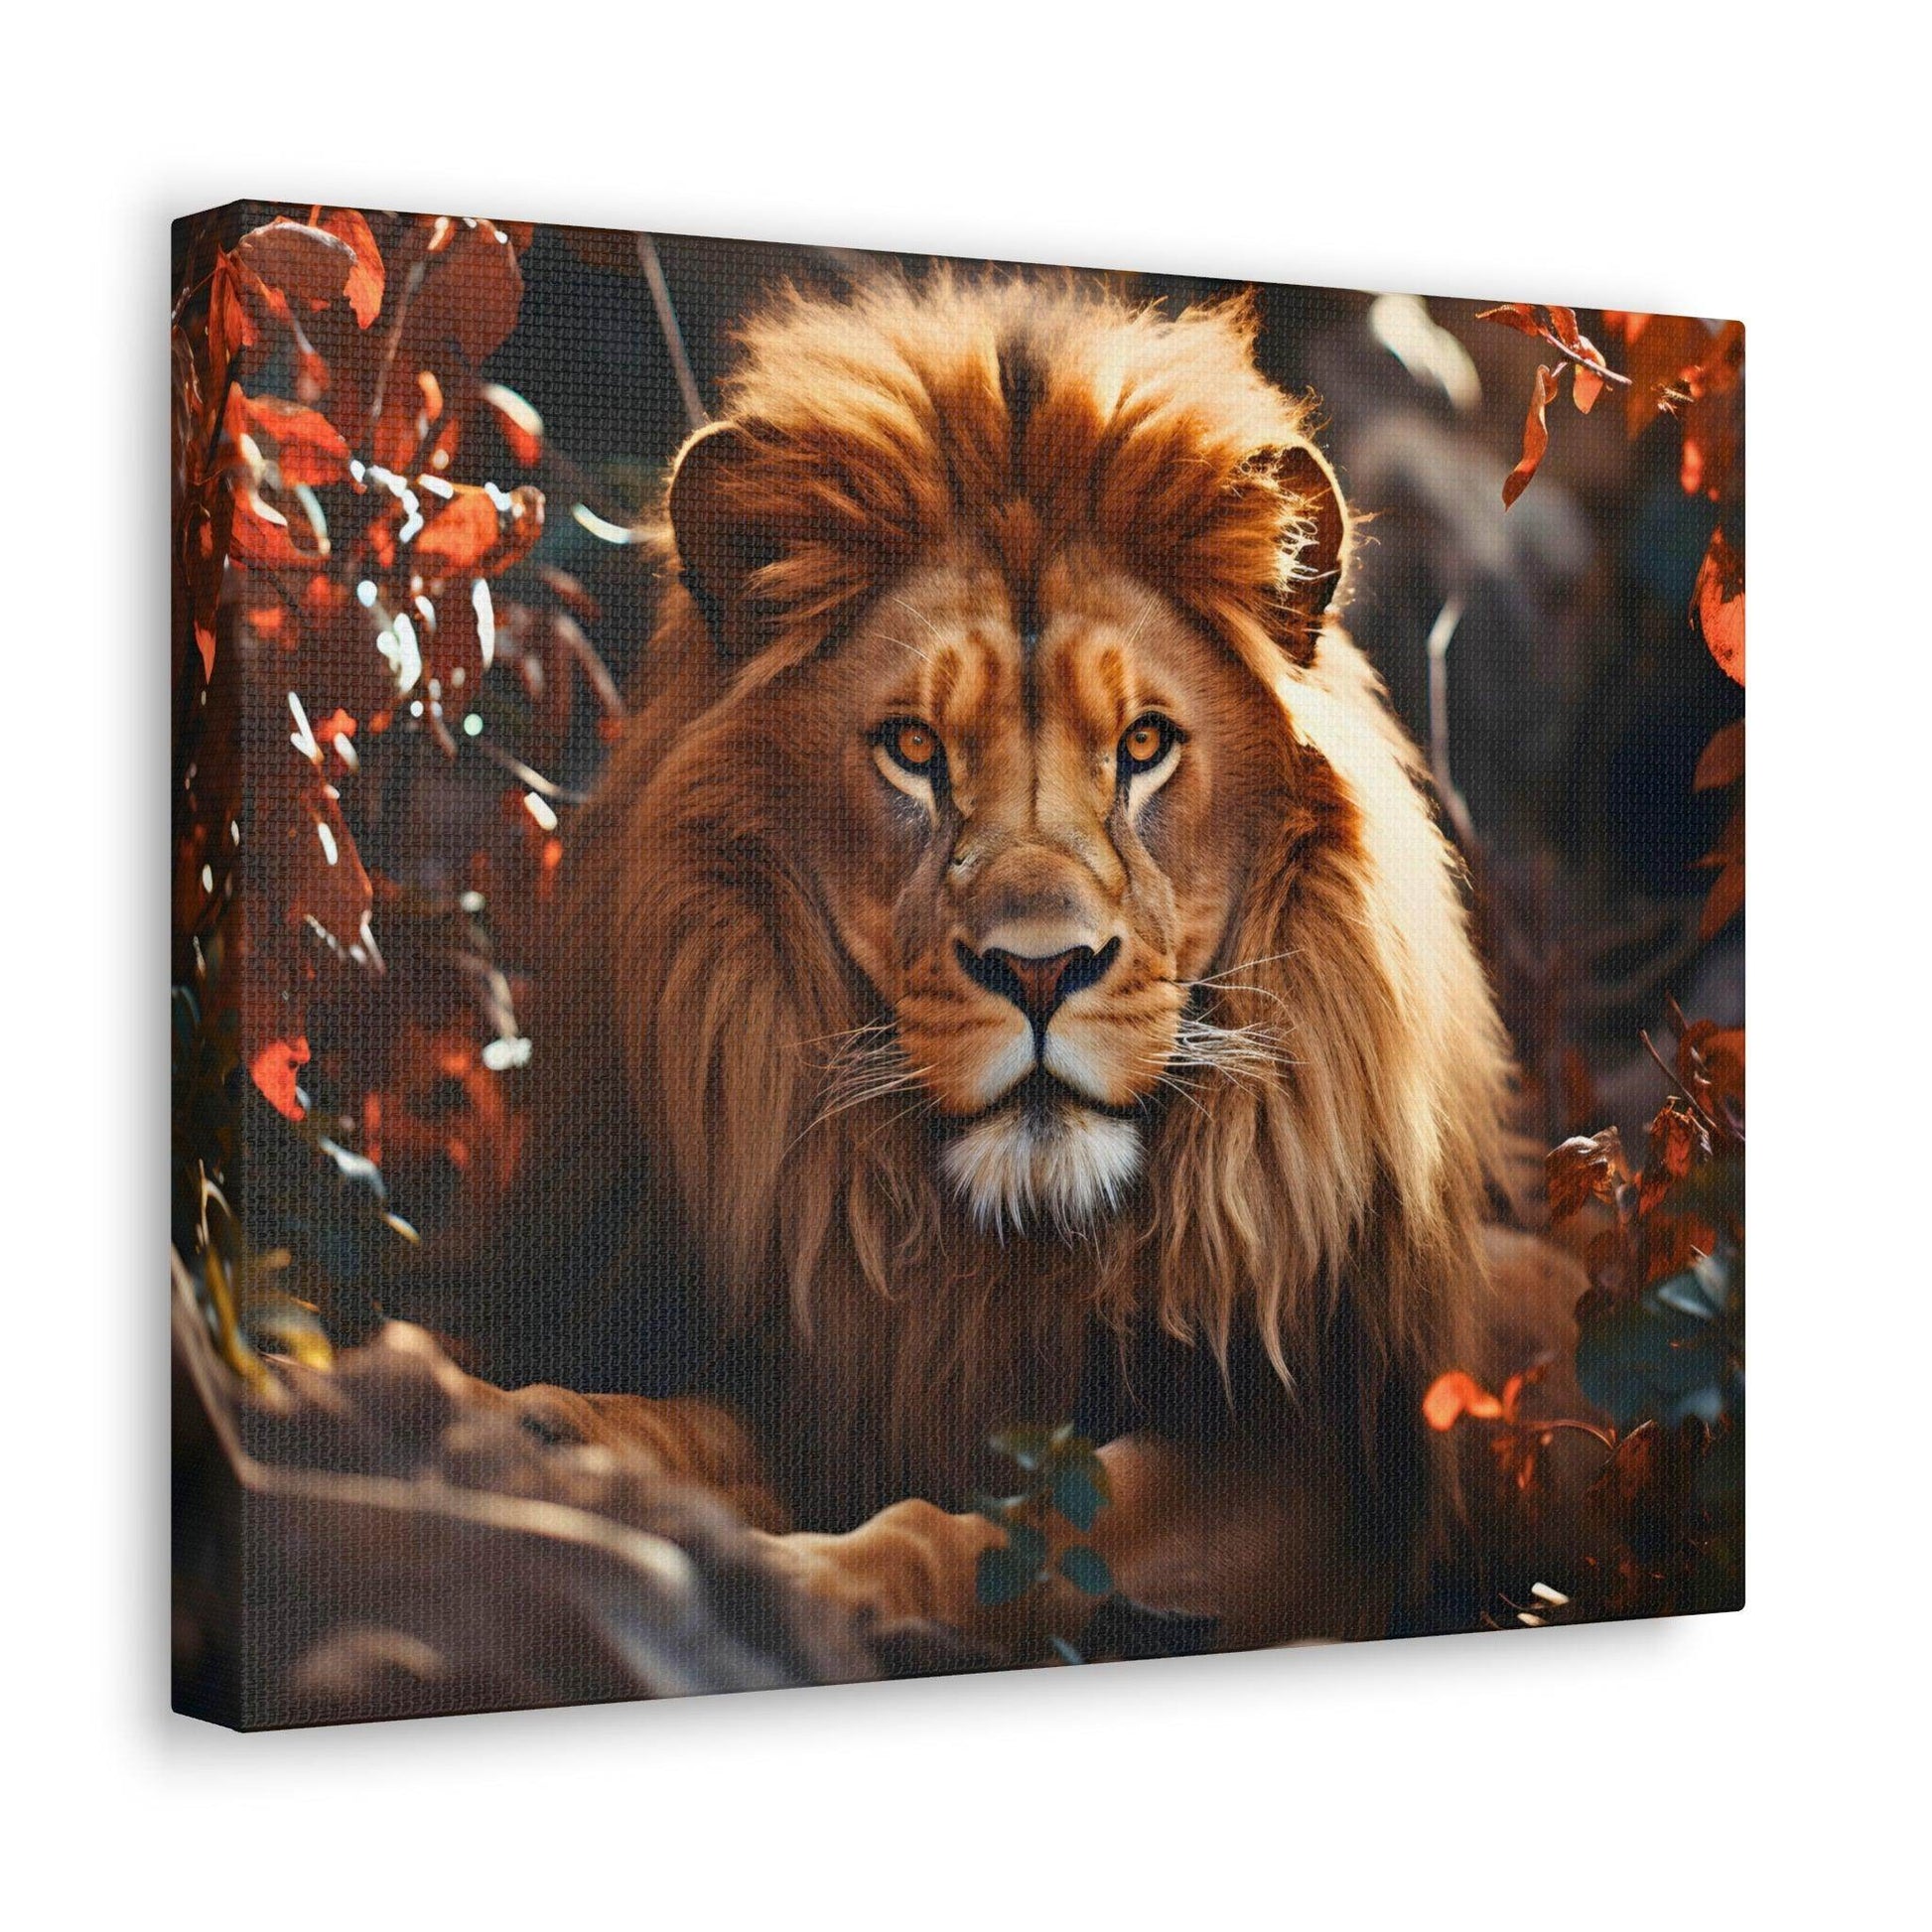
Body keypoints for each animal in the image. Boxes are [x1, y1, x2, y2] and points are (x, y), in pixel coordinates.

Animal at [447, 273, 1576, 1654]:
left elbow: (1033, 1527)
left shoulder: (1322, 1474)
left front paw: (819, 1580)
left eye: (1142, 745)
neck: (1007, 1253)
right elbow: (690, 1421)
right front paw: (523, 1425)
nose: (1041, 972)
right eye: (912, 749)